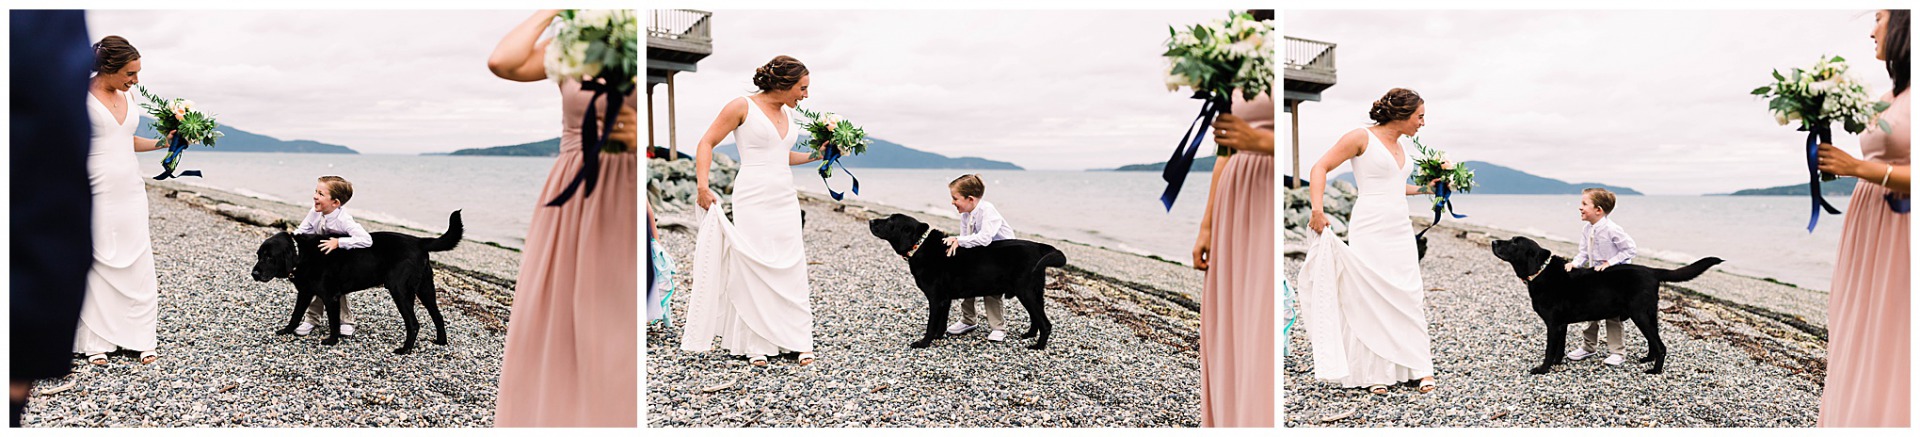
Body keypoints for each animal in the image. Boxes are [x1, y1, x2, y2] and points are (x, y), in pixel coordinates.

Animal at [249, 208, 462, 354]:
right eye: (259, 255)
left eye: (269, 257)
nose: (254, 274)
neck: (301, 255)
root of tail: (419, 241)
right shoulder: (305, 293)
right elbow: (295, 315)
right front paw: (286, 330)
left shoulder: (330, 296)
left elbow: (334, 322)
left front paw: (332, 341)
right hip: (426, 289)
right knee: (438, 316)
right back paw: (441, 341)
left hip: (399, 290)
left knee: (414, 323)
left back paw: (404, 350)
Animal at [867, 213, 1067, 350]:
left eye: (891, 221)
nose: (870, 221)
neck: (919, 246)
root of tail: (1040, 247)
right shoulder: (945, 300)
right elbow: (941, 323)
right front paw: (939, 337)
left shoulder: (936, 299)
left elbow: (931, 324)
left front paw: (924, 343)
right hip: (1032, 293)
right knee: (1036, 318)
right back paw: (1029, 335)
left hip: (1026, 292)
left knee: (1046, 323)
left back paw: (1038, 346)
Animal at [1482, 237, 1728, 373]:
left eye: (1515, 242)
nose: (1493, 242)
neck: (1540, 272)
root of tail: (1652, 270)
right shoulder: (1561, 325)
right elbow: (1559, 349)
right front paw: (1558, 364)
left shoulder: (1553, 325)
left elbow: (1549, 350)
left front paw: (1543, 369)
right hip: (1649, 314)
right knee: (1654, 341)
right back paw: (1647, 360)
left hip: (1640, 314)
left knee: (1661, 346)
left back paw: (1655, 371)